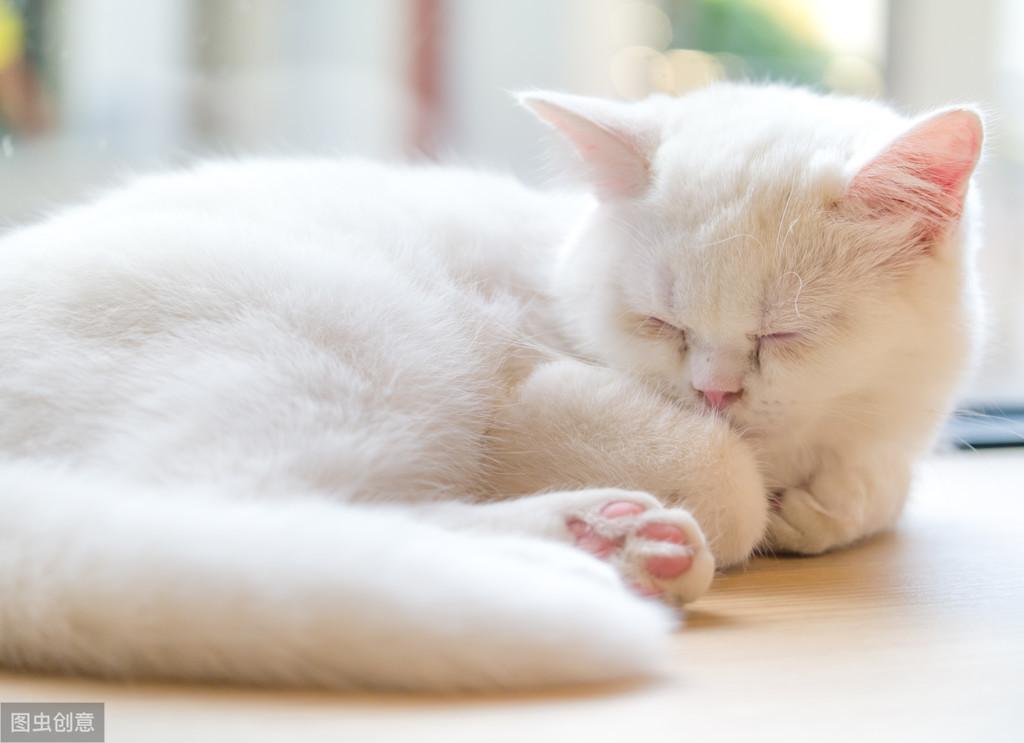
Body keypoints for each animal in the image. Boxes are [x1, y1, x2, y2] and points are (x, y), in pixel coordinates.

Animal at [0, 84, 983, 695]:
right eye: (659, 323)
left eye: (785, 335)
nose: (714, 392)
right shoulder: (529, 389)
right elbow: (728, 487)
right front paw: (757, 491)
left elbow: (876, 483)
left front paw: (830, 497)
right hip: (353, 336)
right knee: (242, 522)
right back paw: (573, 565)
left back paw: (610, 543)